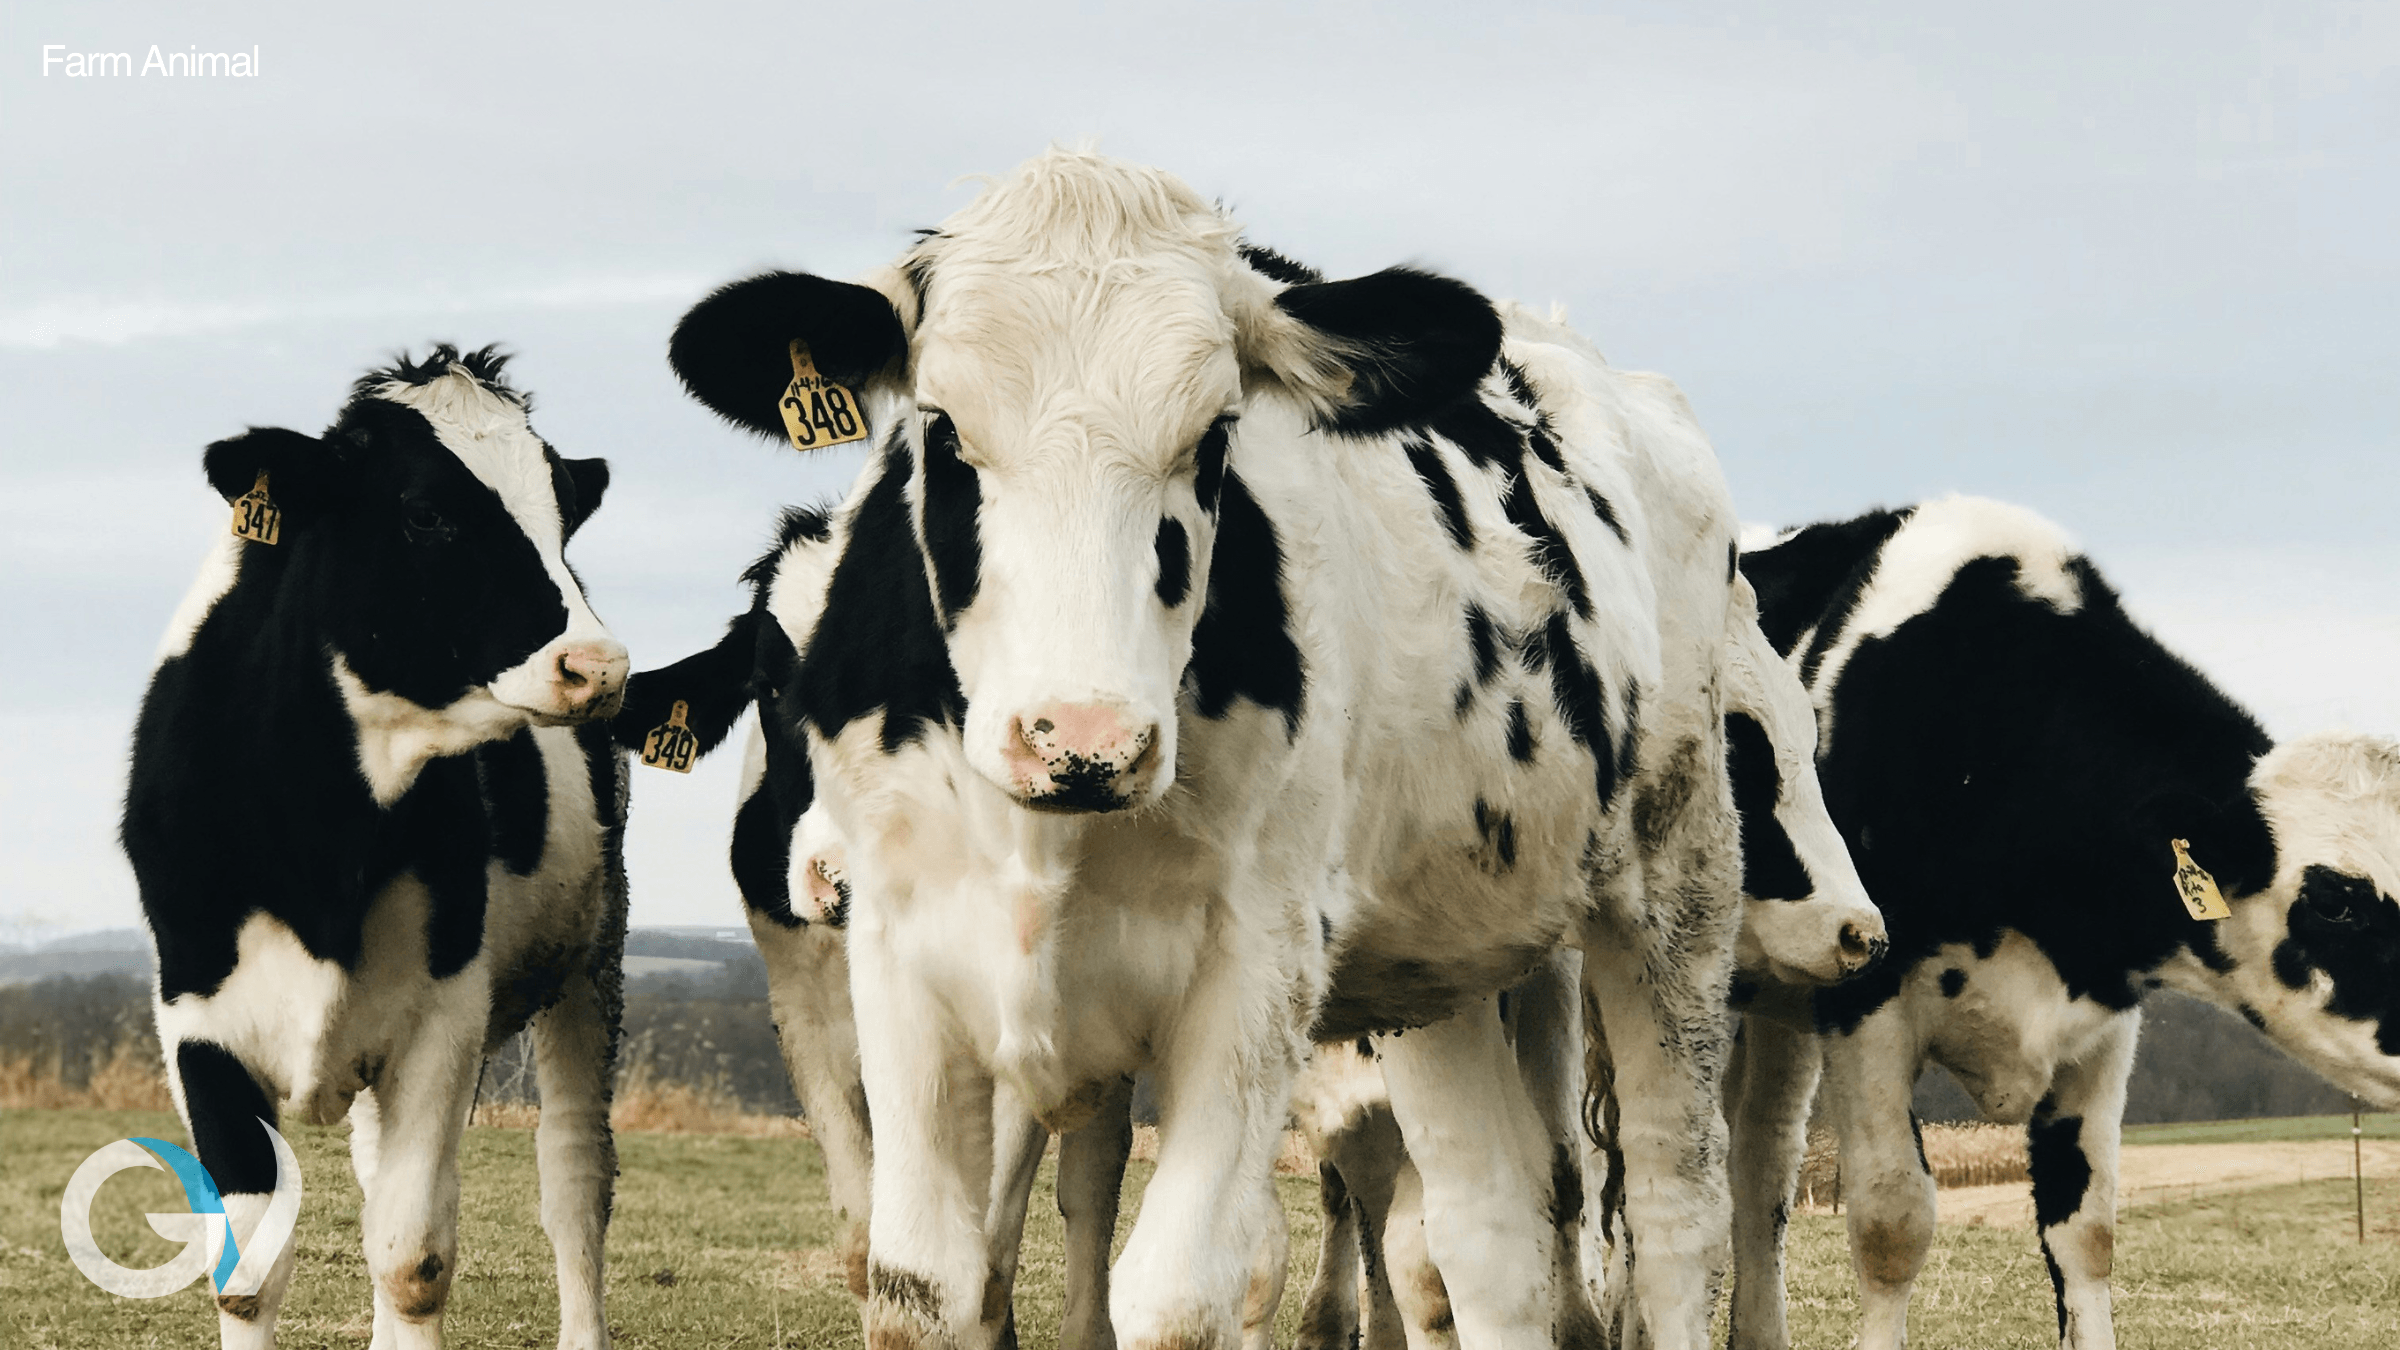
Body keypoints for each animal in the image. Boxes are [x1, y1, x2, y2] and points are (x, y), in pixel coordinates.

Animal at [123, 347, 631, 1350]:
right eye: (425, 511)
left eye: (561, 510)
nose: (598, 666)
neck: (321, 833)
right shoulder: (197, 1021)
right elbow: (248, 1274)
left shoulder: (443, 1018)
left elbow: (413, 1261)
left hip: (593, 959)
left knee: (574, 1182)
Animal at [639, 147, 1811, 1350]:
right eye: (943, 430)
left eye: (1212, 439)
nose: (1084, 741)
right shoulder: (900, 964)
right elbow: (923, 1283)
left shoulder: (1257, 970)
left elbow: (1179, 1292)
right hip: (1444, 956)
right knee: (1491, 1233)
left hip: (1677, 882)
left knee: (1674, 1207)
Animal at [1724, 495, 2400, 1350]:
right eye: (2337, 899)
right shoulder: (1865, 1002)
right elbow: (1891, 1221)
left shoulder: (2101, 1026)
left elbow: (2087, 1231)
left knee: (1759, 1163)